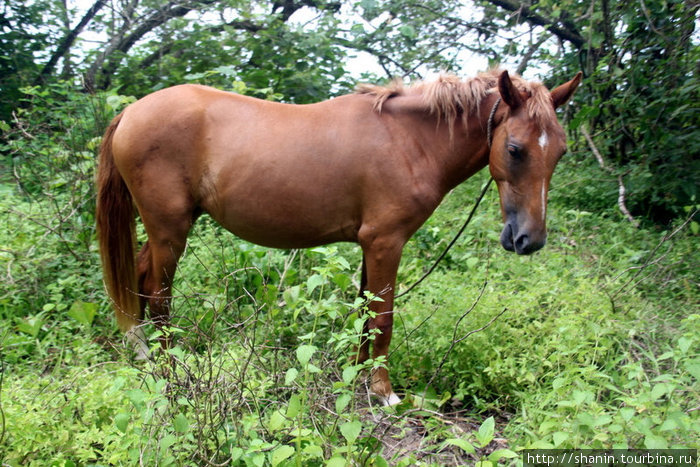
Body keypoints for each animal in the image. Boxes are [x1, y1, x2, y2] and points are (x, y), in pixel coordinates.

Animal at [95, 68, 584, 406]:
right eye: (515, 149)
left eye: (560, 150)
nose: (529, 239)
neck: (410, 141)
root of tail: (131, 111)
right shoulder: (387, 241)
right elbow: (383, 318)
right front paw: (384, 393)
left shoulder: (371, 245)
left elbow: (364, 314)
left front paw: (355, 377)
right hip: (170, 230)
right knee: (159, 295)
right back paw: (170, 370)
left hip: (165, 230)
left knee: (140, 281)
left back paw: (142, 357)